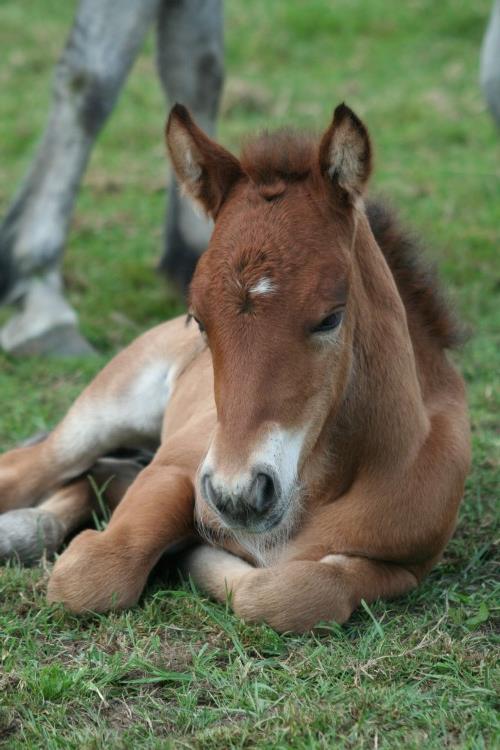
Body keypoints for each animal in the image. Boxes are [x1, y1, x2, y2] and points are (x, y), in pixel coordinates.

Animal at [0, 104, 470, 636]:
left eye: (331, 317)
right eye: (198, 319)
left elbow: (292, 591)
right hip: (103, 413)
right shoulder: (176, 466)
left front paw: (198, 558)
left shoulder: (406, 565)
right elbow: (92, 573)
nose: (239, 494)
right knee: (34, 470)